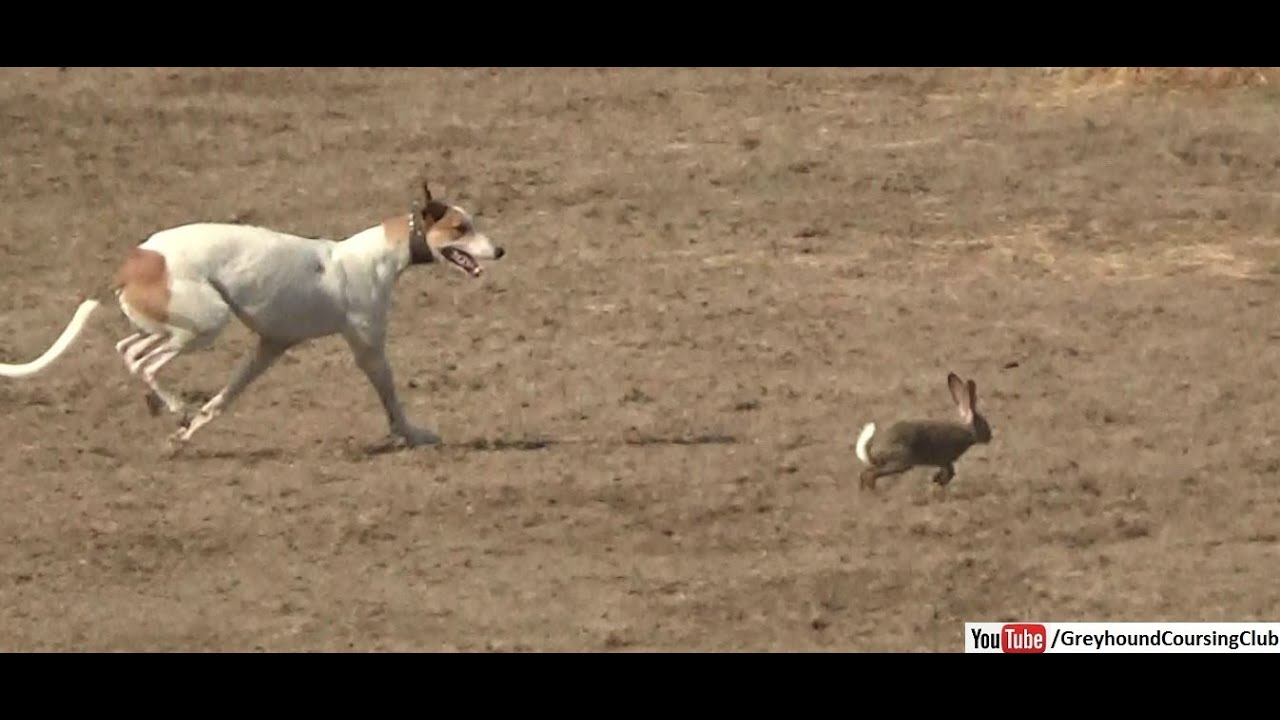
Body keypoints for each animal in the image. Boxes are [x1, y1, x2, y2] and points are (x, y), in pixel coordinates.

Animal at [855, 368, 993, 486]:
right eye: (983, 425)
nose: (990, 437)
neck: (968, 432)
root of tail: (875, 453)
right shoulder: (945, 458)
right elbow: (949, 472)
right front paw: (939, 481)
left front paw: (937, 480)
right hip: (902, 460)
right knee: (871, 475)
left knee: (866, 472)